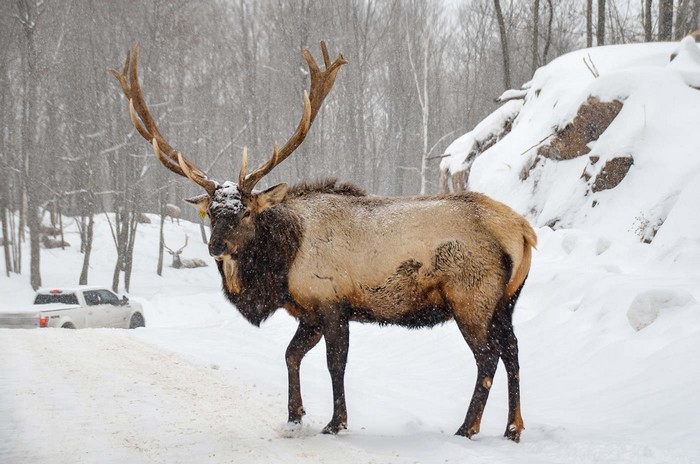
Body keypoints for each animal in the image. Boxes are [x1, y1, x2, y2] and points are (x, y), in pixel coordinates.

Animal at [113, 41, 536, 440]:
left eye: (245, 211)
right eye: (212, 212)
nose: (216, 247)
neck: (282, 267)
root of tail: (522, 231)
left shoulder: (332, 302)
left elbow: (335, 364)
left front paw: (335, 422)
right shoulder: (309, 311)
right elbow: (290, 355)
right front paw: (294, 416)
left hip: (471, 296)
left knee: (488, 357)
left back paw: (468, 427)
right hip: (506, 300)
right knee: (514, 351)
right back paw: (512, 427)